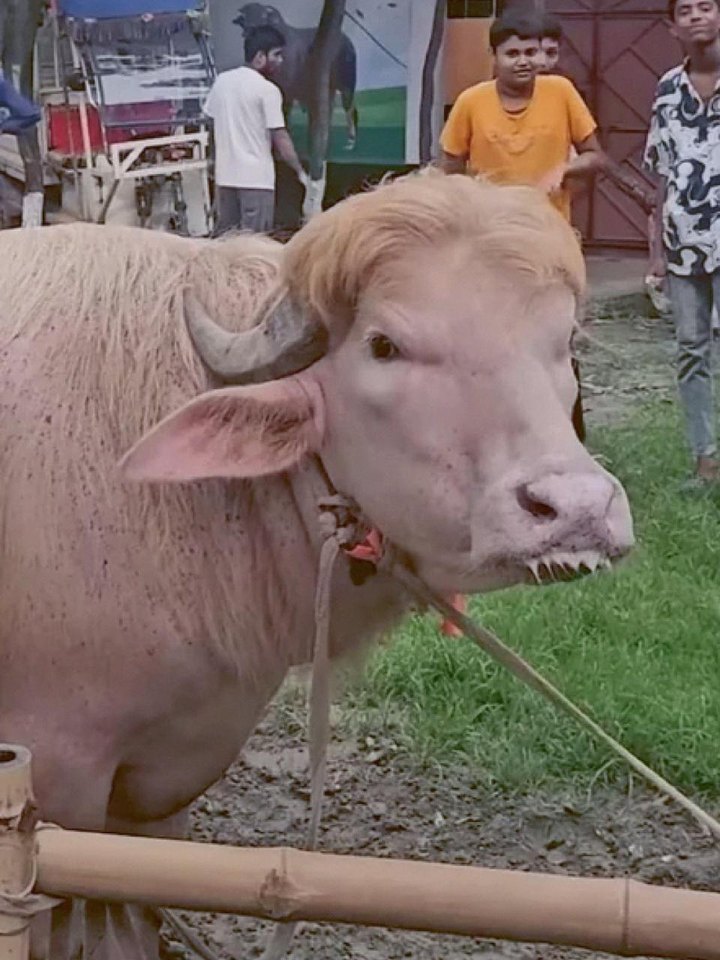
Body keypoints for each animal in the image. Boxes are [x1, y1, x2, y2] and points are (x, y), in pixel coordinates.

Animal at [233, 2, 359, 150]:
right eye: (244, 17)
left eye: (264, 16)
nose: (250, 29)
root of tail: (347, 40)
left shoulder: (287, 91)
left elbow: (284, 115)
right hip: (329, 87)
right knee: (328, 110)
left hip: (347, 83)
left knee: (350, 109)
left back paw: (350, 141)